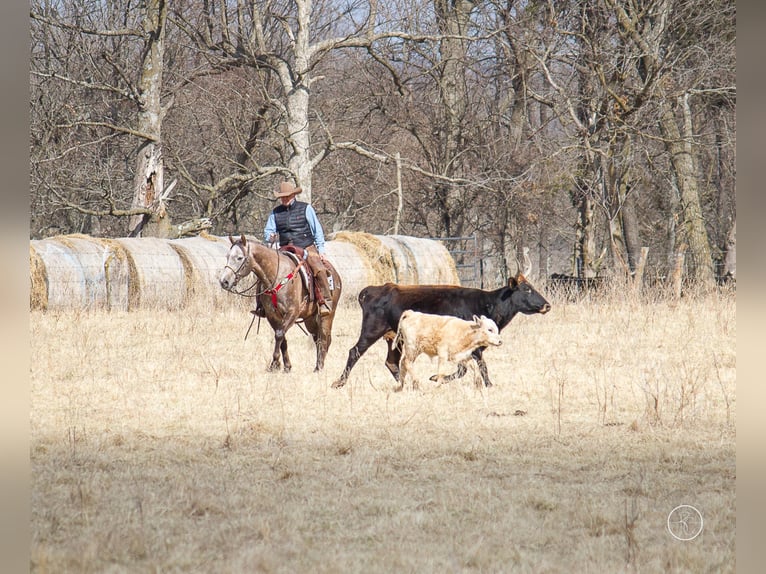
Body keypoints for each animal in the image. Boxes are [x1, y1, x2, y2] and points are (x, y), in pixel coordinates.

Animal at [330, 274, 552, 392]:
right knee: (354, 352)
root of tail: (374, 289)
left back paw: (406, 384)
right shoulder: (470, 347)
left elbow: (468, 368)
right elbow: (479, 367)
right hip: (371, 331)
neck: (486, 304)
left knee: (392, 362)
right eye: (527, 289)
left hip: (394, 339)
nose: (547, 305)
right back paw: (339, 382)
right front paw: (488, 385)